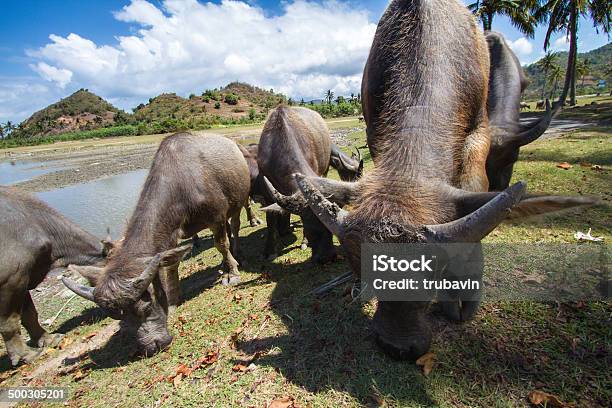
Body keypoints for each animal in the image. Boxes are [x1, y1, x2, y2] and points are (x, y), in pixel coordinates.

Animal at [0, 186, 113, 364]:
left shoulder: (23, 276)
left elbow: (30, 313)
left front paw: (51, 339)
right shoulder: (10, 279)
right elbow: (9, 321)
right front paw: (28, 356)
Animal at [63, 133, 250, 354]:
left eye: (146, 306)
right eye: (117, 317)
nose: (153, 346)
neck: (183, 183)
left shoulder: (216, 218)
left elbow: (221, 244)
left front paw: (232, 273)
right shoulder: (171, 232)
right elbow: (171, 264)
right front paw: (174, 298)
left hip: (238, 201)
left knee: (234, 227)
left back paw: (237, 255)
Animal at [256, 107, 338, 262]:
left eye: (330, 226)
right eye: (313, 228)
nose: (328, 257)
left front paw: (304, 241)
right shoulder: (266, 193)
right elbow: (270, 221)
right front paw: (269, 250)